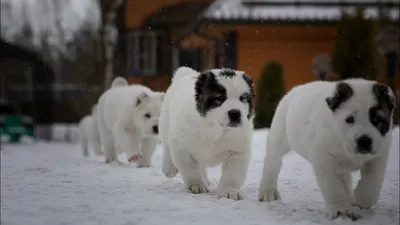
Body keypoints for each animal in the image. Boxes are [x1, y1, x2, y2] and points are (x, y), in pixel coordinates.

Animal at [159, 66, 255, 200]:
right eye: (220, 98)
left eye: (242, 98)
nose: (235, 113)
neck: (215, 129)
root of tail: (187, 73)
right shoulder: (181, 146)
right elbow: (190, 168)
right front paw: (197, 185)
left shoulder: (237, 150)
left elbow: (232, 174)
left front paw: (229, 191)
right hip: (166, 121)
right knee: (167, 145)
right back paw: (169, 168)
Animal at [258, 78, 396, 221]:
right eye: (350, 119)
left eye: (377, 119)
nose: (364, 140)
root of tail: (296, 89)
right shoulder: (323, 157)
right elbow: (332, 185)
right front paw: (341, 209)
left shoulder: (380, 154)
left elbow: (373, 180)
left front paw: (361, 199)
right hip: (279, 137)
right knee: (272, 163)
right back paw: (268, 192)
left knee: (344, 177)